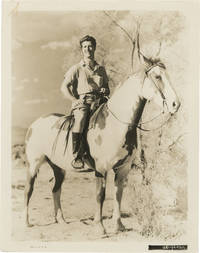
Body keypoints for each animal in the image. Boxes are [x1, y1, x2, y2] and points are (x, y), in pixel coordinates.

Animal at [24, 55, 180, 235]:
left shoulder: (123, 168)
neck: (116, 125)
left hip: (59, 167)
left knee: (56, 189)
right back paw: (26, 222)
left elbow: (118, 194)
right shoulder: (101, 168)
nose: (176, 104)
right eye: (157, 77)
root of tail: (35, 123)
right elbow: (100, 195)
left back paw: (61, 220)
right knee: (28, 190)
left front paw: (119, 225)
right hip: (33, 165)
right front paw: (100, 227)